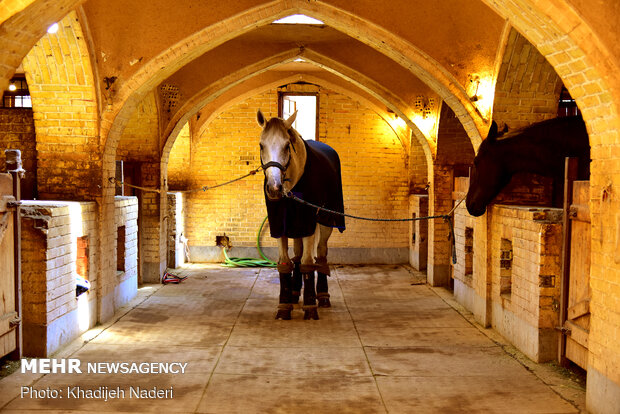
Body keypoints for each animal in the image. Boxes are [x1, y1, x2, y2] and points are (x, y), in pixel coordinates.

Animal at [256, 109, 346, 320]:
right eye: (261, 145)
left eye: (286, 145)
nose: (274, 188)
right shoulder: (280, 224)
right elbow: (285, 263)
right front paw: (284, 305)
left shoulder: (308, 222)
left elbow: (307, 263)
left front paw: (310, 306)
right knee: (297, 255)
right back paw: (295, 292)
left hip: (326, 220)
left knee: (320, 254)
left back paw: (322, 295)